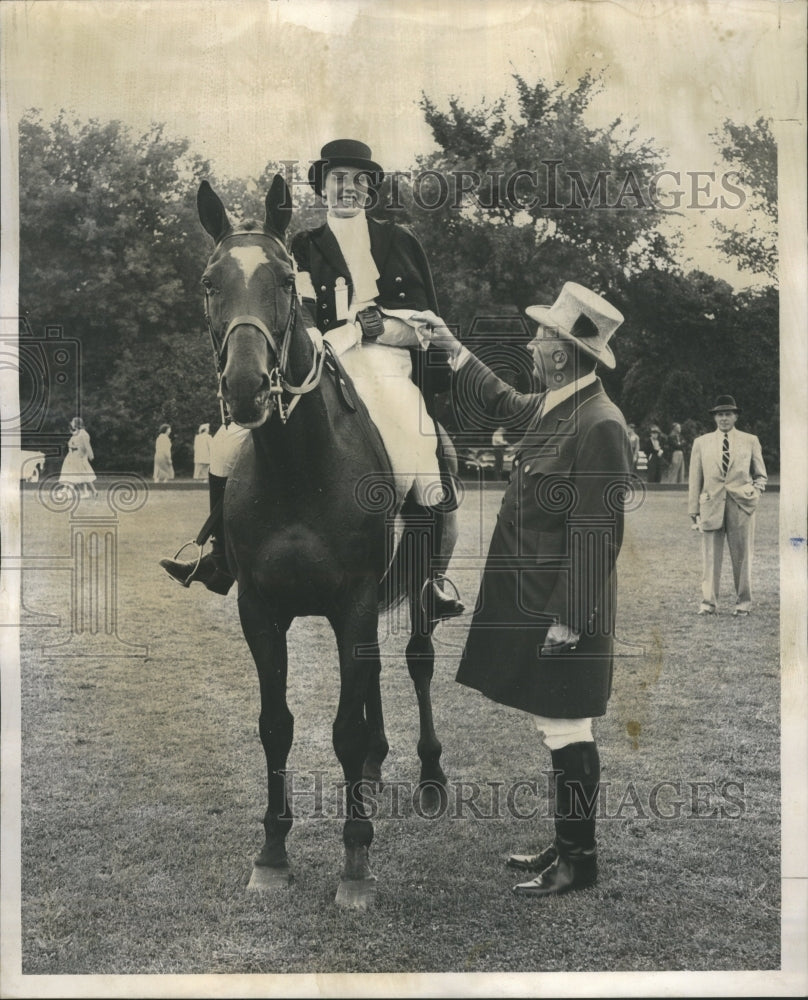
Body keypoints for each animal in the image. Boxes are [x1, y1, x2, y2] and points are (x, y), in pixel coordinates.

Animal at [193, 176, 452, 912]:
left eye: (285, 280)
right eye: (210, 283)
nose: (246, 387)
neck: (297, 463)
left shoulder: (355, 603)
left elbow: (344, 726)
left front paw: (356, 860)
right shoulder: (261, 611)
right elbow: (276, 724)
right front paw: (273, 853)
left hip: (417, 576)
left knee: (416, 660)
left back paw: (428, 777)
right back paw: (375, 767)